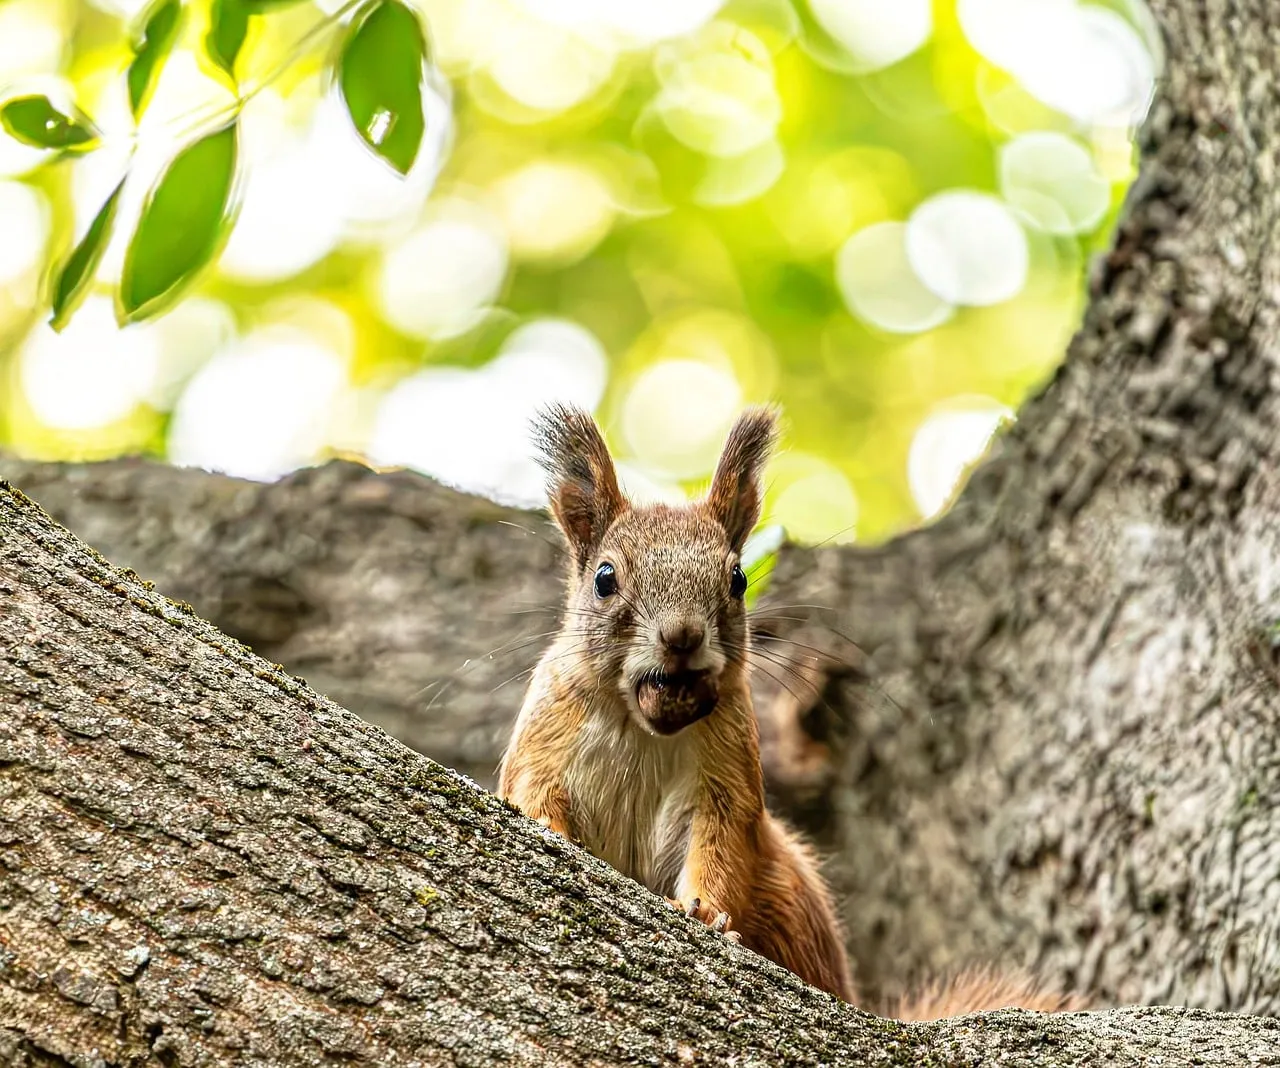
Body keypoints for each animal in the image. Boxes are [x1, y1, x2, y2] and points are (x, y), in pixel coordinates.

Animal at [497, 403, 1086, 1018]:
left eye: (737, 579)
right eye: (604, 578)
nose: (682, 636)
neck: (646, 728)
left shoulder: (725, 773)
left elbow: (724, 845)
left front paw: (705, 911)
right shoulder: (545, 738)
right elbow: (532, 795)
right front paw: (548, 828)